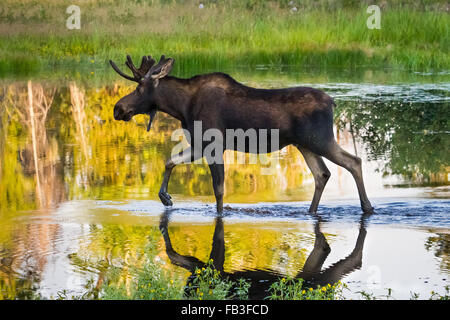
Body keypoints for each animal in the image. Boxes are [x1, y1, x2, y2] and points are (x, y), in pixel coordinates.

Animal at [108, 54, 372, 215]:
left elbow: (219, 189)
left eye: (139, 88)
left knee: (353, 161)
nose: (118, 109)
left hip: (320, 139)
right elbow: (170, 161)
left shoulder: (213, 143)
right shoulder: (200, 144)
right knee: (322, 174)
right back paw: (311, 211)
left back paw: (367, 207)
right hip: (304, 144)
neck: (181, 107)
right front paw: (165, 196)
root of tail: (333, 102)